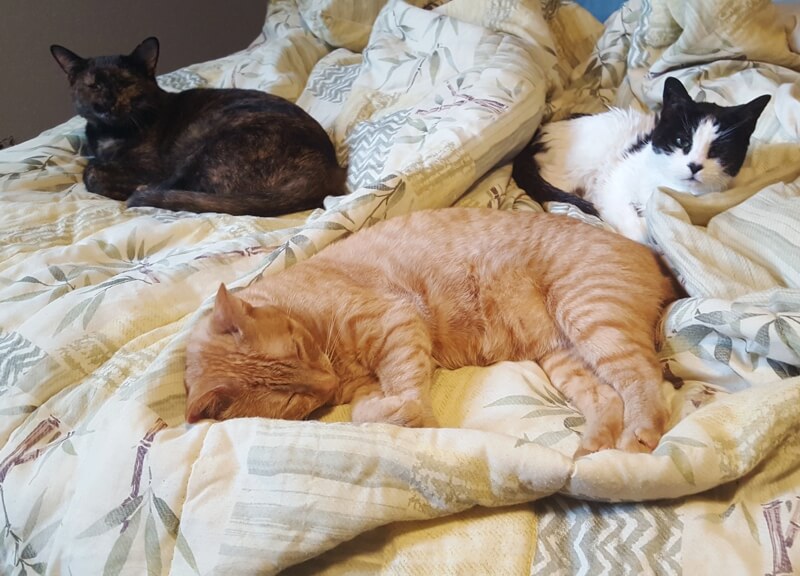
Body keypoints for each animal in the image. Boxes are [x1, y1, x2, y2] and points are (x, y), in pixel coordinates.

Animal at [50, 36, 344, 216]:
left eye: (125, 83)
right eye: (93, 86)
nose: (106, 104)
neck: (110, 132)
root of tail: (324, 167)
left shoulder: (151, 166)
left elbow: (91, 171)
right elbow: (93, 164)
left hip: (208, 141)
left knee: (173, 186)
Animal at [184, 207, 680, 454]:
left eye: (300, 348)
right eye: (290, 400)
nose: (324, 383)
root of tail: (647, 249)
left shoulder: (396, 319)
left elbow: (404, 387)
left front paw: (416, 416)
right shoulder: (362, 386)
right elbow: (364, 413)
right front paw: (396, 414)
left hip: (591, 316)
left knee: (643, 378)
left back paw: (638, 434)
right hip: (564, 354)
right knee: (606, 397)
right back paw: (591, 448)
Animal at [516, 77, 772, 243]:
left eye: (718, 151)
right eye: (681, 141)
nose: (694, 166)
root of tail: (542, 130)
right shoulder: (613, 185)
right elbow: (628, 219)